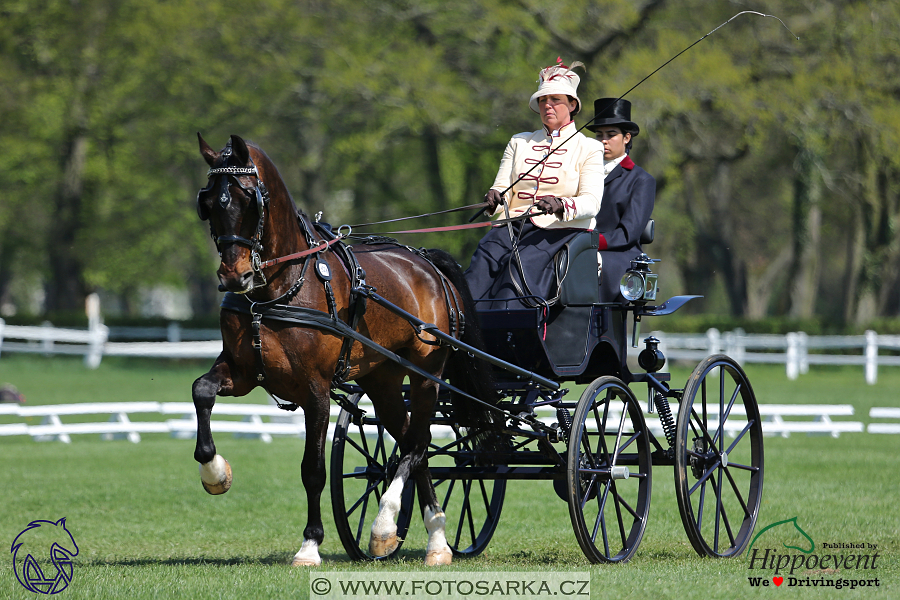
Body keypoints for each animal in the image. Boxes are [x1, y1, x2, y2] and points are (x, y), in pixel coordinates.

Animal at [192, 132, 496, 568]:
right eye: (208, 202)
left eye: (248, 198)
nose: (235, 277)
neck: (279, 289)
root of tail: (428, 263)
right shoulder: (243, 371)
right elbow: (202, 391)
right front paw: (215, 472)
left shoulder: (315, 391)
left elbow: (313, 470)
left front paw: (309, 545)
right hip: (383, 380)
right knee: (411, 442)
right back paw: (435, 537)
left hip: (426, 376)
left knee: (418, 443)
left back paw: (387, 526)